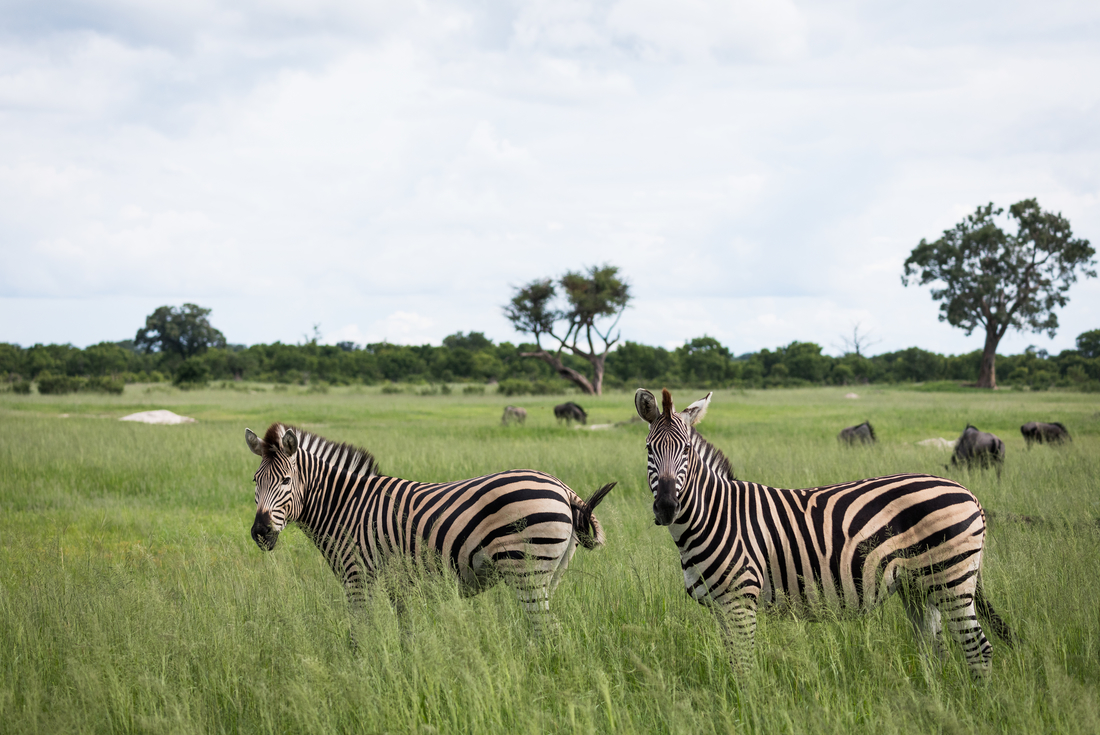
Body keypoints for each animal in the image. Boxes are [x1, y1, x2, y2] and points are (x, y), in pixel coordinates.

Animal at [245, 423, 614, 633]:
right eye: (254, 481)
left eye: (286, 481)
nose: (260, 533)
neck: (345, 506)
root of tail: (563, 487)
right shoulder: (397, 583)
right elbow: (407, 633)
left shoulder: (357, 576)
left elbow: (359, 634)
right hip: (550, 572)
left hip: (527, 568)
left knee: (546, 630)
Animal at [635, 388, 1013, 679]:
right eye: (649, 450)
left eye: (686, 451)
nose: (666, 507)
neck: (714, 516)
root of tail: (969, 493)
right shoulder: (720, 606)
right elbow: (733, 663)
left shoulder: (741, 599)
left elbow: (744, 667)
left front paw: (748, 707)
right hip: (919, 585)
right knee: (936, 647)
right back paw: (937, 699)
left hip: (952, 577)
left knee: (978, 648)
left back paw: (977, 702)